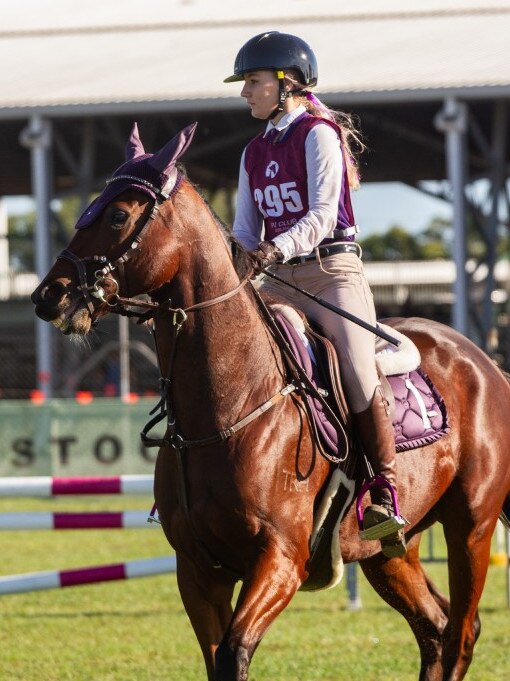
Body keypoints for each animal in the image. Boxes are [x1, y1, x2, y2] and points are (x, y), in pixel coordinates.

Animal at [31, 123, 510, 680]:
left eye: (118, 215)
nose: (50, 296)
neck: (226, 410)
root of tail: (483, 362)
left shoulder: (279, 560)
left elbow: (235, 651)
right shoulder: (199, 572)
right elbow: (217, 659)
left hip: (471, 528)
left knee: (460, 633)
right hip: (389, 551)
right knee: (434, 628)